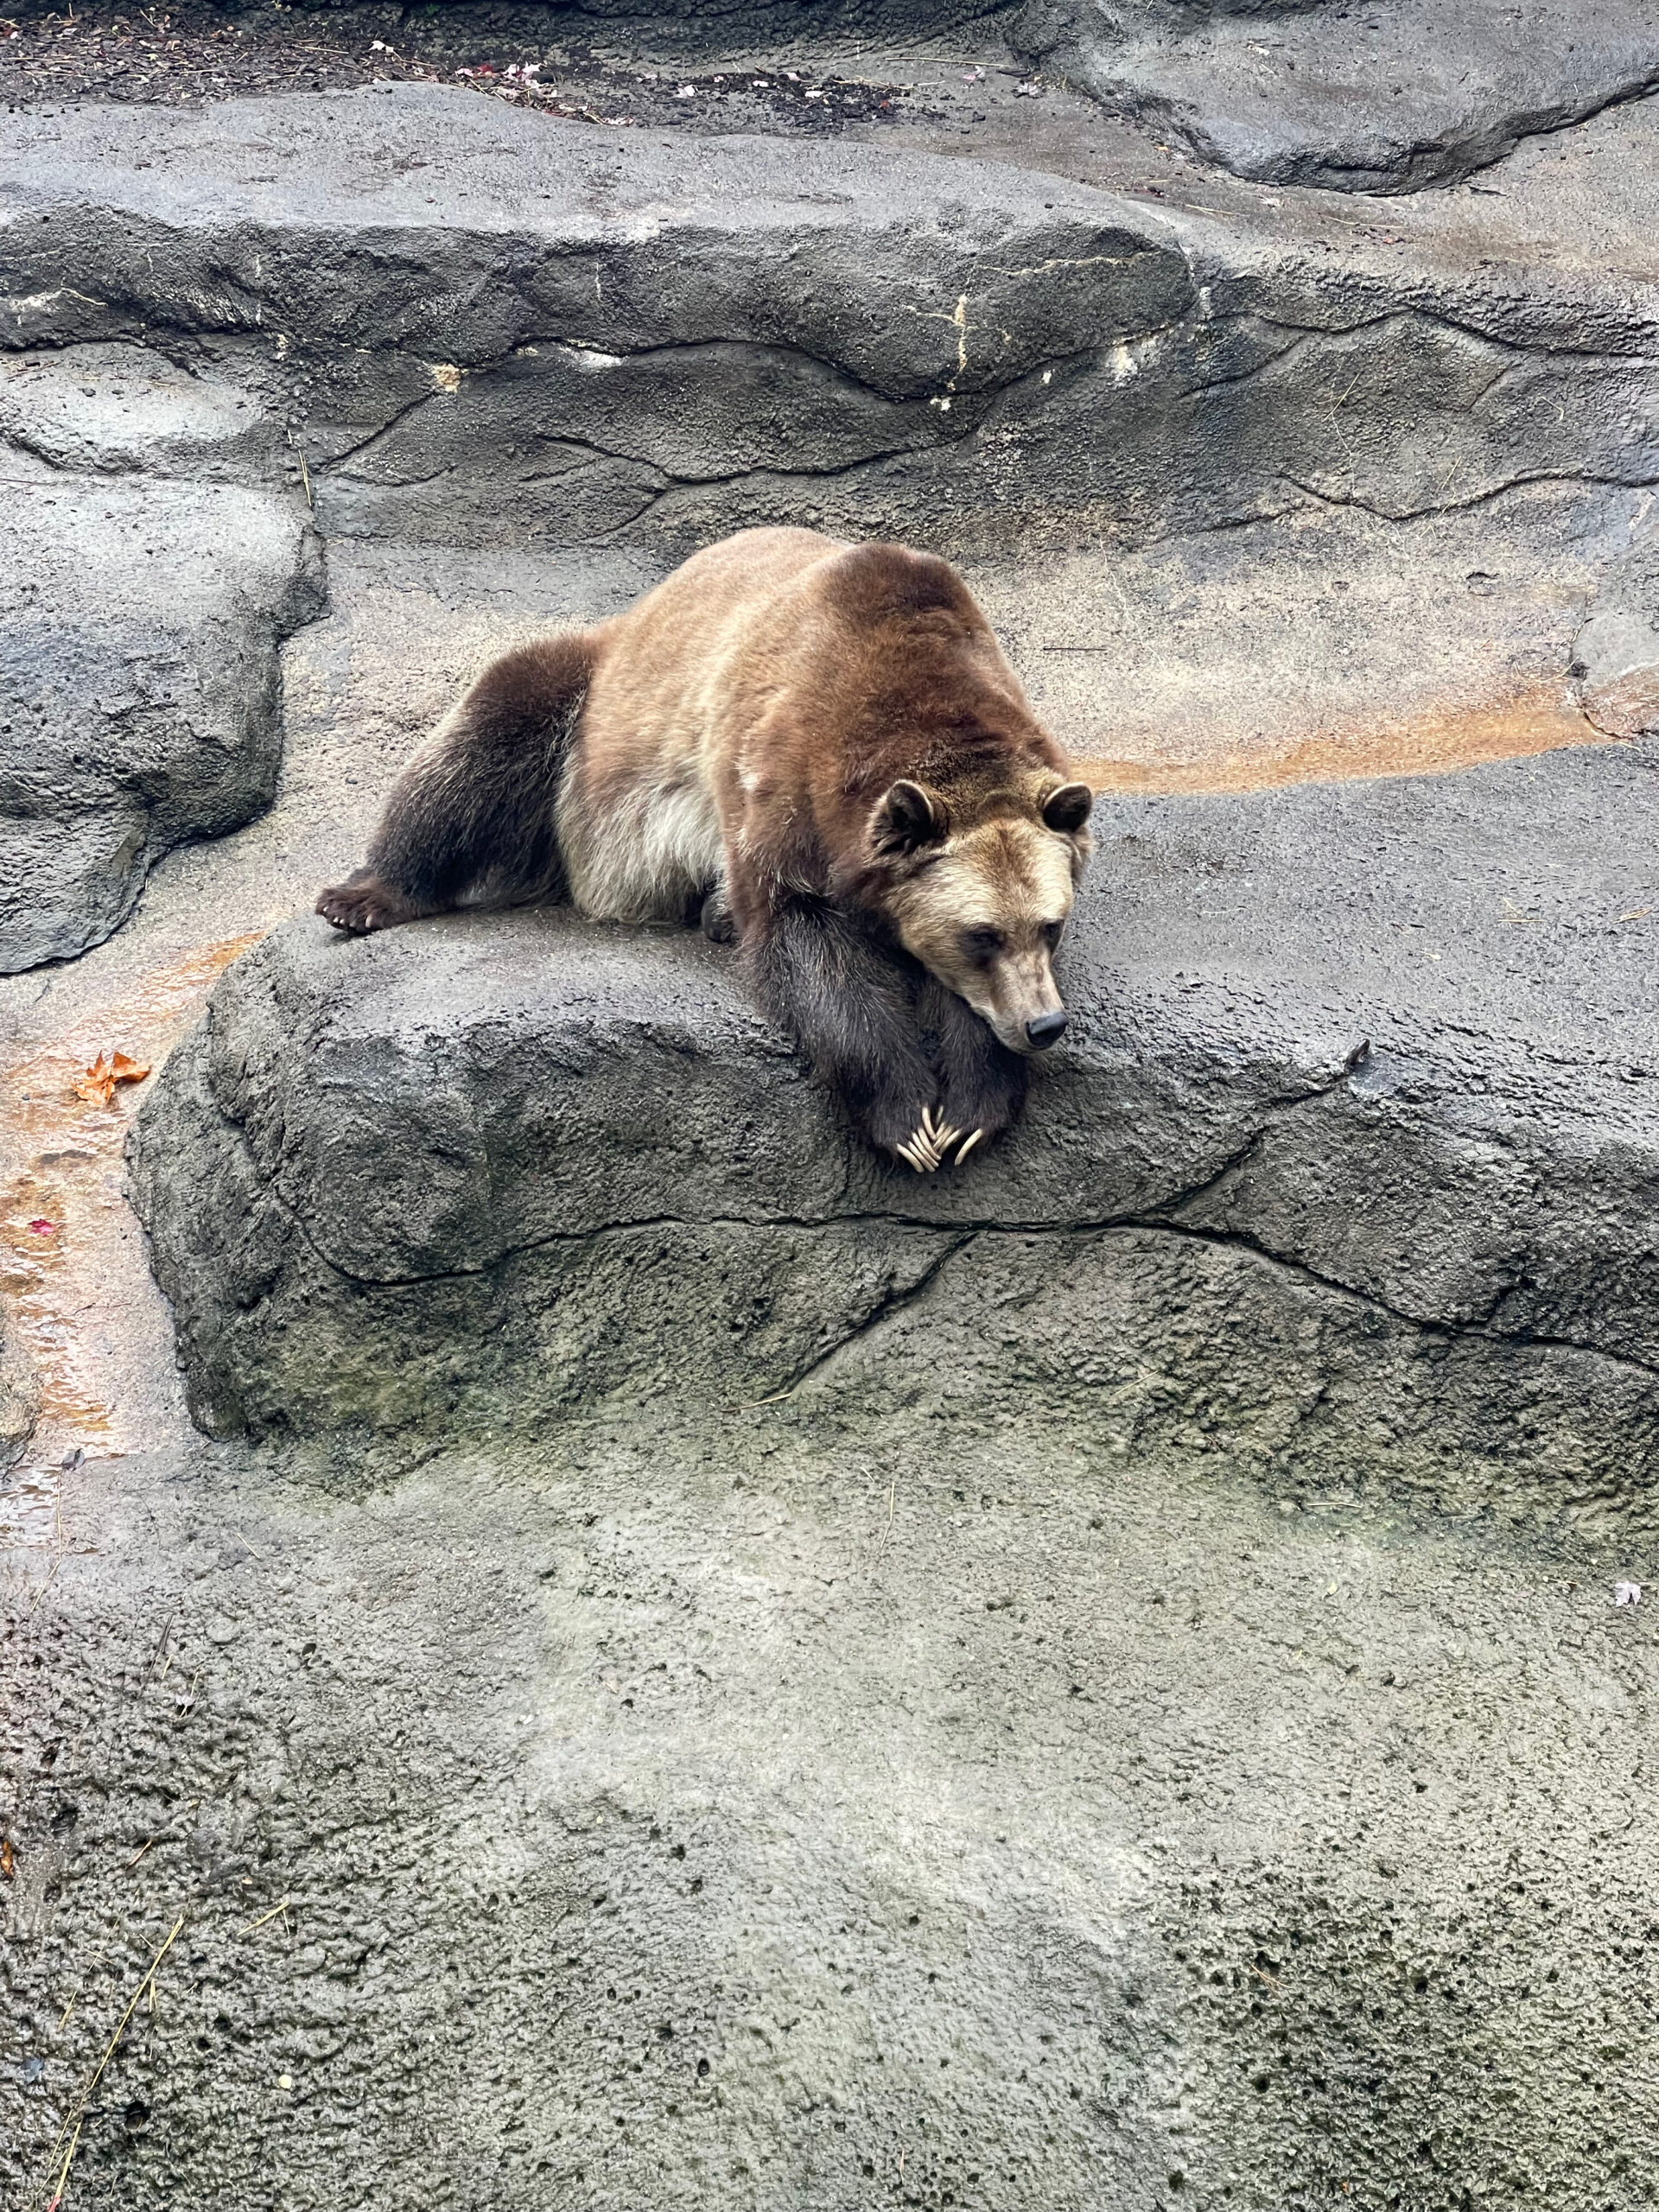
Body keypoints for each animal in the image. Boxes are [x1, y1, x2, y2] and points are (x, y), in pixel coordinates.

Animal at [321, 528, 1106, 1176]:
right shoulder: (782, 776)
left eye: (1050, 925)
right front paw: (906, 1117)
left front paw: (971, 1109)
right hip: (592, 726)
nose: (1044, 1024)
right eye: (982, 934)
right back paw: (363, 896)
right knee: (489, 730)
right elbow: (804, 941)